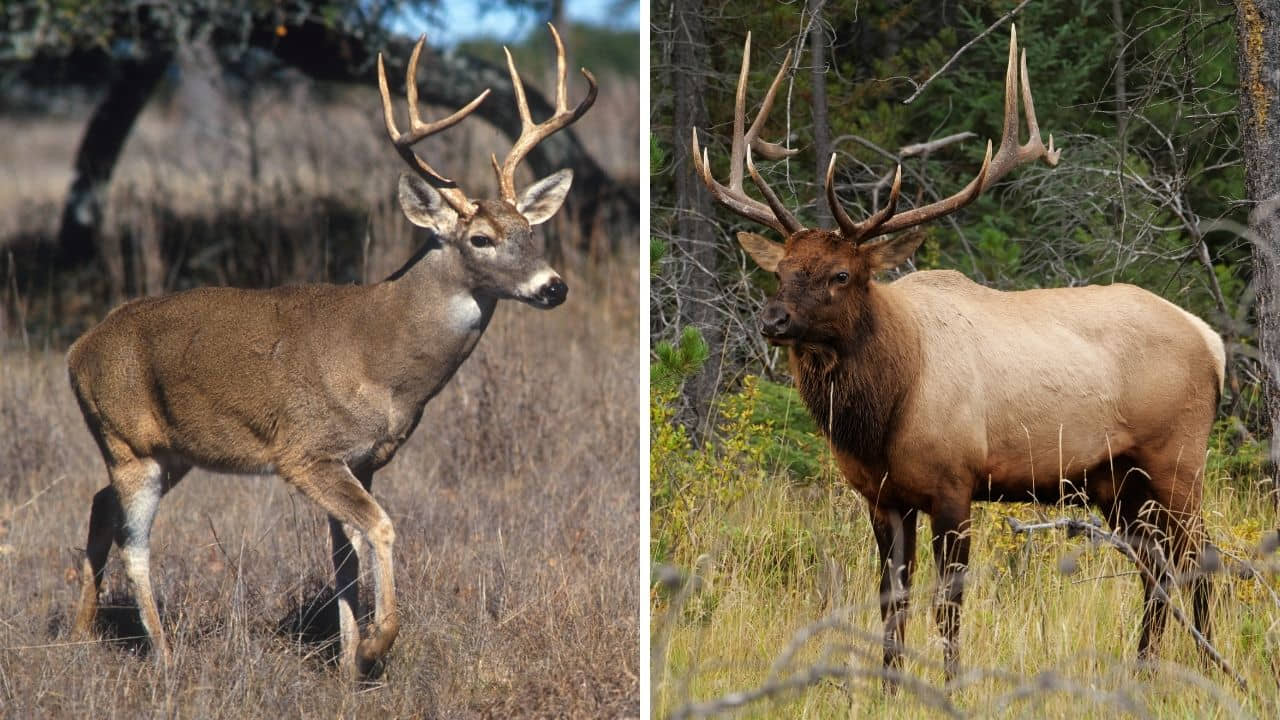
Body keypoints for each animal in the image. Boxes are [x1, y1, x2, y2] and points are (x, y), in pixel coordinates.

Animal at [66, 24, 596, 680]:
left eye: (530, 231)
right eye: (480, 238)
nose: (554, 287)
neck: (383, 361)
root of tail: (77, 351)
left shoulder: (362, 458)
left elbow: (344, 556)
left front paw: (345, 662)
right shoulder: (306, 452)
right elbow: (381, 529)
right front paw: (374, 645)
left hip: (169, 451)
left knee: (99, 505)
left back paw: (81, 634)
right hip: (128, 442)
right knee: (133, 542)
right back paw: (164, 656)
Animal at [691, 26, 1224, 687]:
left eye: (842, 274)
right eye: (782, 270)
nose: (774, 319)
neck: (885, 410)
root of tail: (1212, 340)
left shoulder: (954, 483)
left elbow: (949, 601)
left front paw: (950, 682)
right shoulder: (882, 498)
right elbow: (893, 598)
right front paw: (888, 683)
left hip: (1177, 457)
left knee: (1200, 556)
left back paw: (1207, 668)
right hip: (1114, 479)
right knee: (1154, 565)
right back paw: (1144, 668)